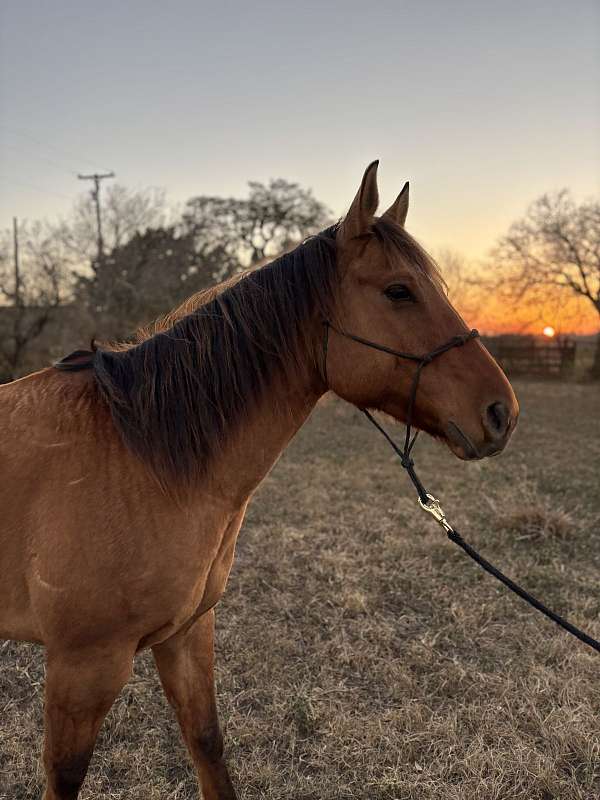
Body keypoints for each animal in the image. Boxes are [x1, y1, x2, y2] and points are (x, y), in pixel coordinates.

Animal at [0, 162, 518, 800]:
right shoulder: (82, 664)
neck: (142, 457)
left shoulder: (187, 636)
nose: (501, 412)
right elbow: (65, 775)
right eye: (399, 290)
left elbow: (207, 745)